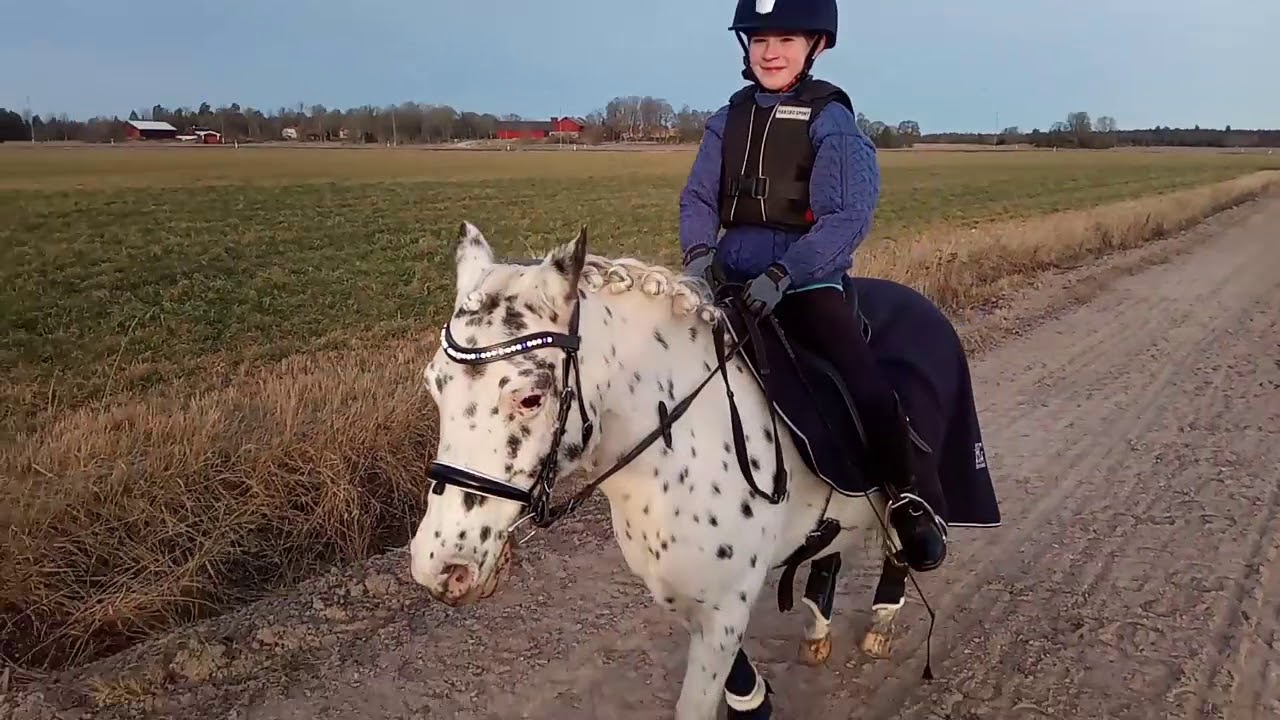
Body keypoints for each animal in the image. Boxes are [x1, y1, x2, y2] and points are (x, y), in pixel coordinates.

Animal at [409, 222, 1001, 719]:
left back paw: (884, 611)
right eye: (435, 384)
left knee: (900, 532)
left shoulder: (727, 602)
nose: (440, 565)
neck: (676, 440)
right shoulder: (686, 593)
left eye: (530, 397)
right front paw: (756, 700)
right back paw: (817, 623)